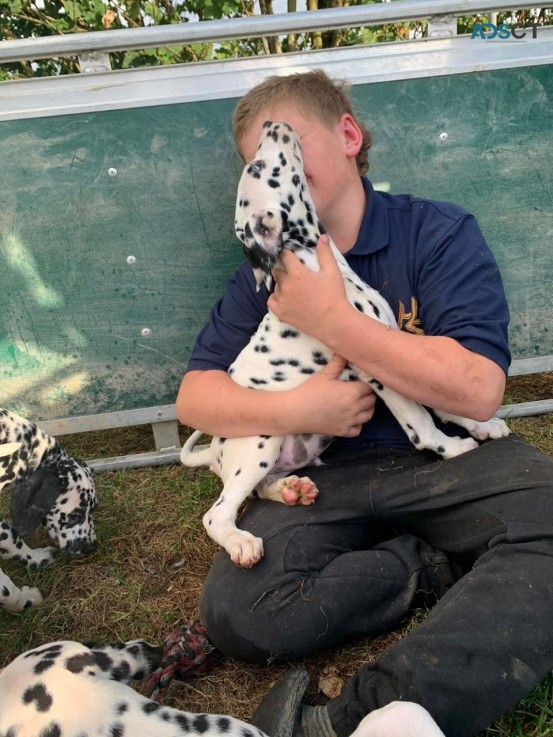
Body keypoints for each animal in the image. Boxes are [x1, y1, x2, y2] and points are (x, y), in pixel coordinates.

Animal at [0, 408, 97, 608]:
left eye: (94, 509)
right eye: (75, 516)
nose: (92, 547)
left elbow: (9, 535)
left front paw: (34, 558)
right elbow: (4, 589)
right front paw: (24, 601)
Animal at [181, 121, 508, 568]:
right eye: (259, 166)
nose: (273, 124)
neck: (319, 264)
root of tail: (215, 454)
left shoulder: (395, 350)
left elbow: (439, 400)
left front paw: (482, 424)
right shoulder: (375, 368)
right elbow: (420, 423)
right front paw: (452, 448)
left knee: (261, 487)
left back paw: (290, 490)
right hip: (262, 439)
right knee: (218, 513)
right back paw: (240, 542)